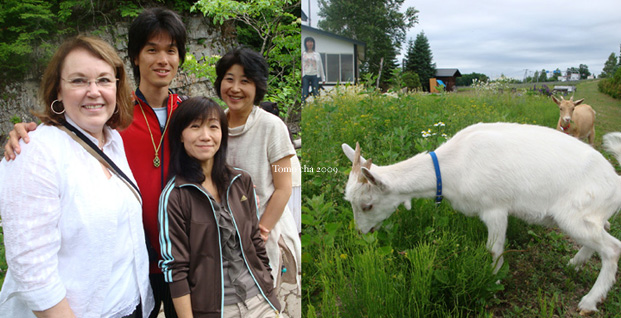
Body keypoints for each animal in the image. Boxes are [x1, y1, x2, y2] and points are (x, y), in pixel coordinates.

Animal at [342, 122, 620, 316]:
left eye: (367, 205)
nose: (361, 233)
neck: (451, 167)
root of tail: (616, 182)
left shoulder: (495, 209)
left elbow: (494, 250)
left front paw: (492, 283)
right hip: (589, 216)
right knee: (602, 232)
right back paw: (574, 264)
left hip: (574, 215)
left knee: (612, 248)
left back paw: (589, 301)